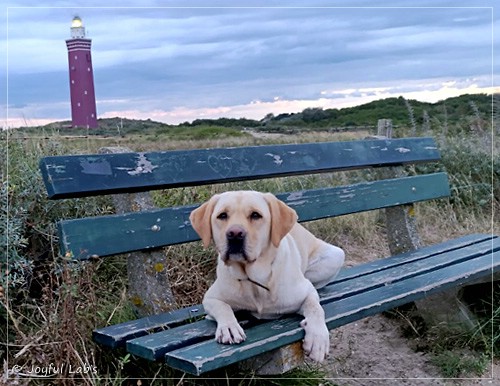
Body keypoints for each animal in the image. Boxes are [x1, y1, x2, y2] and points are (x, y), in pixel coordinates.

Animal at [189, 191, 346, 362]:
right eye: (222, 215)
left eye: (255, 215)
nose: (234, 234)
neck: (254, 280)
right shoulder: (211, 298)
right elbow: (223, 307)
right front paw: (229, 327)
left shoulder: (307, 292)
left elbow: (315, 308)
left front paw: (318, 339)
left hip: (336, 255)